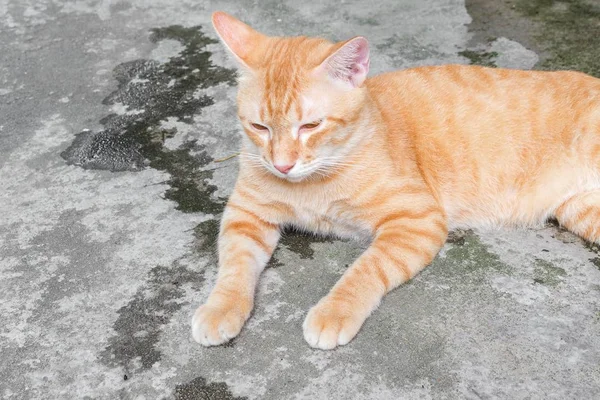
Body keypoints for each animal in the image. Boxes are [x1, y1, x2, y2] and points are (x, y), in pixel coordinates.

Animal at [191, 11, 600, 350]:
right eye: (259, 127)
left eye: (310, 125)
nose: (282, 166)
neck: (314, 183)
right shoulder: (245, 214)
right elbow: (234, 264)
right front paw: (220, 307)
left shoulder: (417, 219)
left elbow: (364, 270)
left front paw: (334, 311)